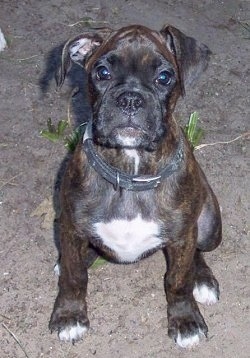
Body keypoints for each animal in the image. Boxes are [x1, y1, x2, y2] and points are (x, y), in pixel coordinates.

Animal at [49, 23, 223, 348]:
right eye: (102, 72)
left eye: (164, 77)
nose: (130, 99)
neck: (130, 169)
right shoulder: (70, 227)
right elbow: (74, 276)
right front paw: (69, 315)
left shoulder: (183, 236)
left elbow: (178, 280)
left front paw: (185, 320)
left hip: (208, 227)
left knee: (197, 252)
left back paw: (203, 280)